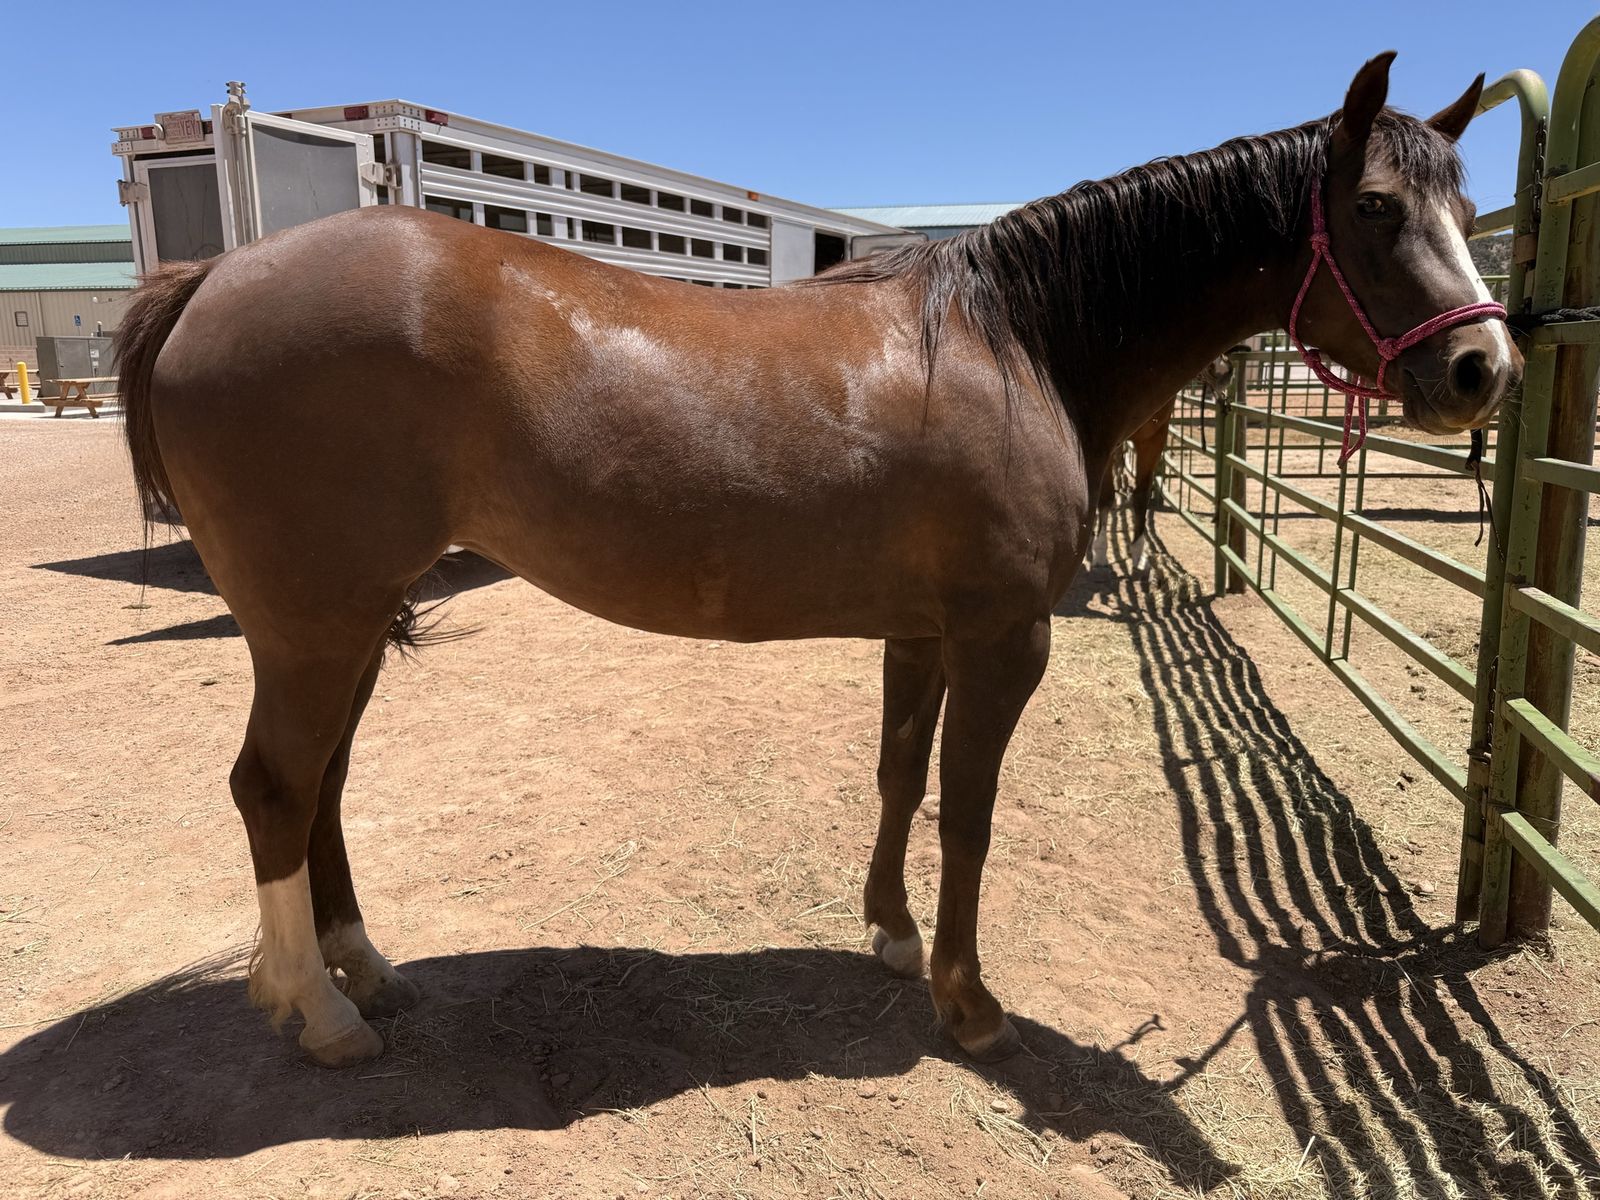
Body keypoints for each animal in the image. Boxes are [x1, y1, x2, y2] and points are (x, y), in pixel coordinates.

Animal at [1088, 353, 1235, 572]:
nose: (1224, 370)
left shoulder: (1153, 440)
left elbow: (1141, 496)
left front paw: (1138, 553)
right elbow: (1105, 497)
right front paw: (1100, 550)